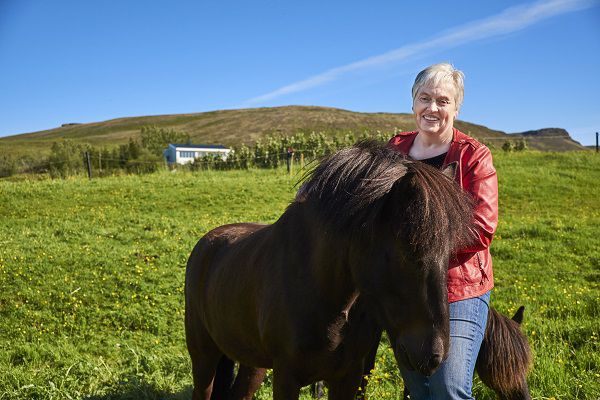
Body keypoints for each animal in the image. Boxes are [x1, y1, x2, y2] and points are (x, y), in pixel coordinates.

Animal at [185, 141, 476, 400]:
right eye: (408, 250)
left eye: (451, 253)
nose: (433, 356)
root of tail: (206, 242)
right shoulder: (286, 377)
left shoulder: (348, 376)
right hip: (204, 357)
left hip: (251, 363)